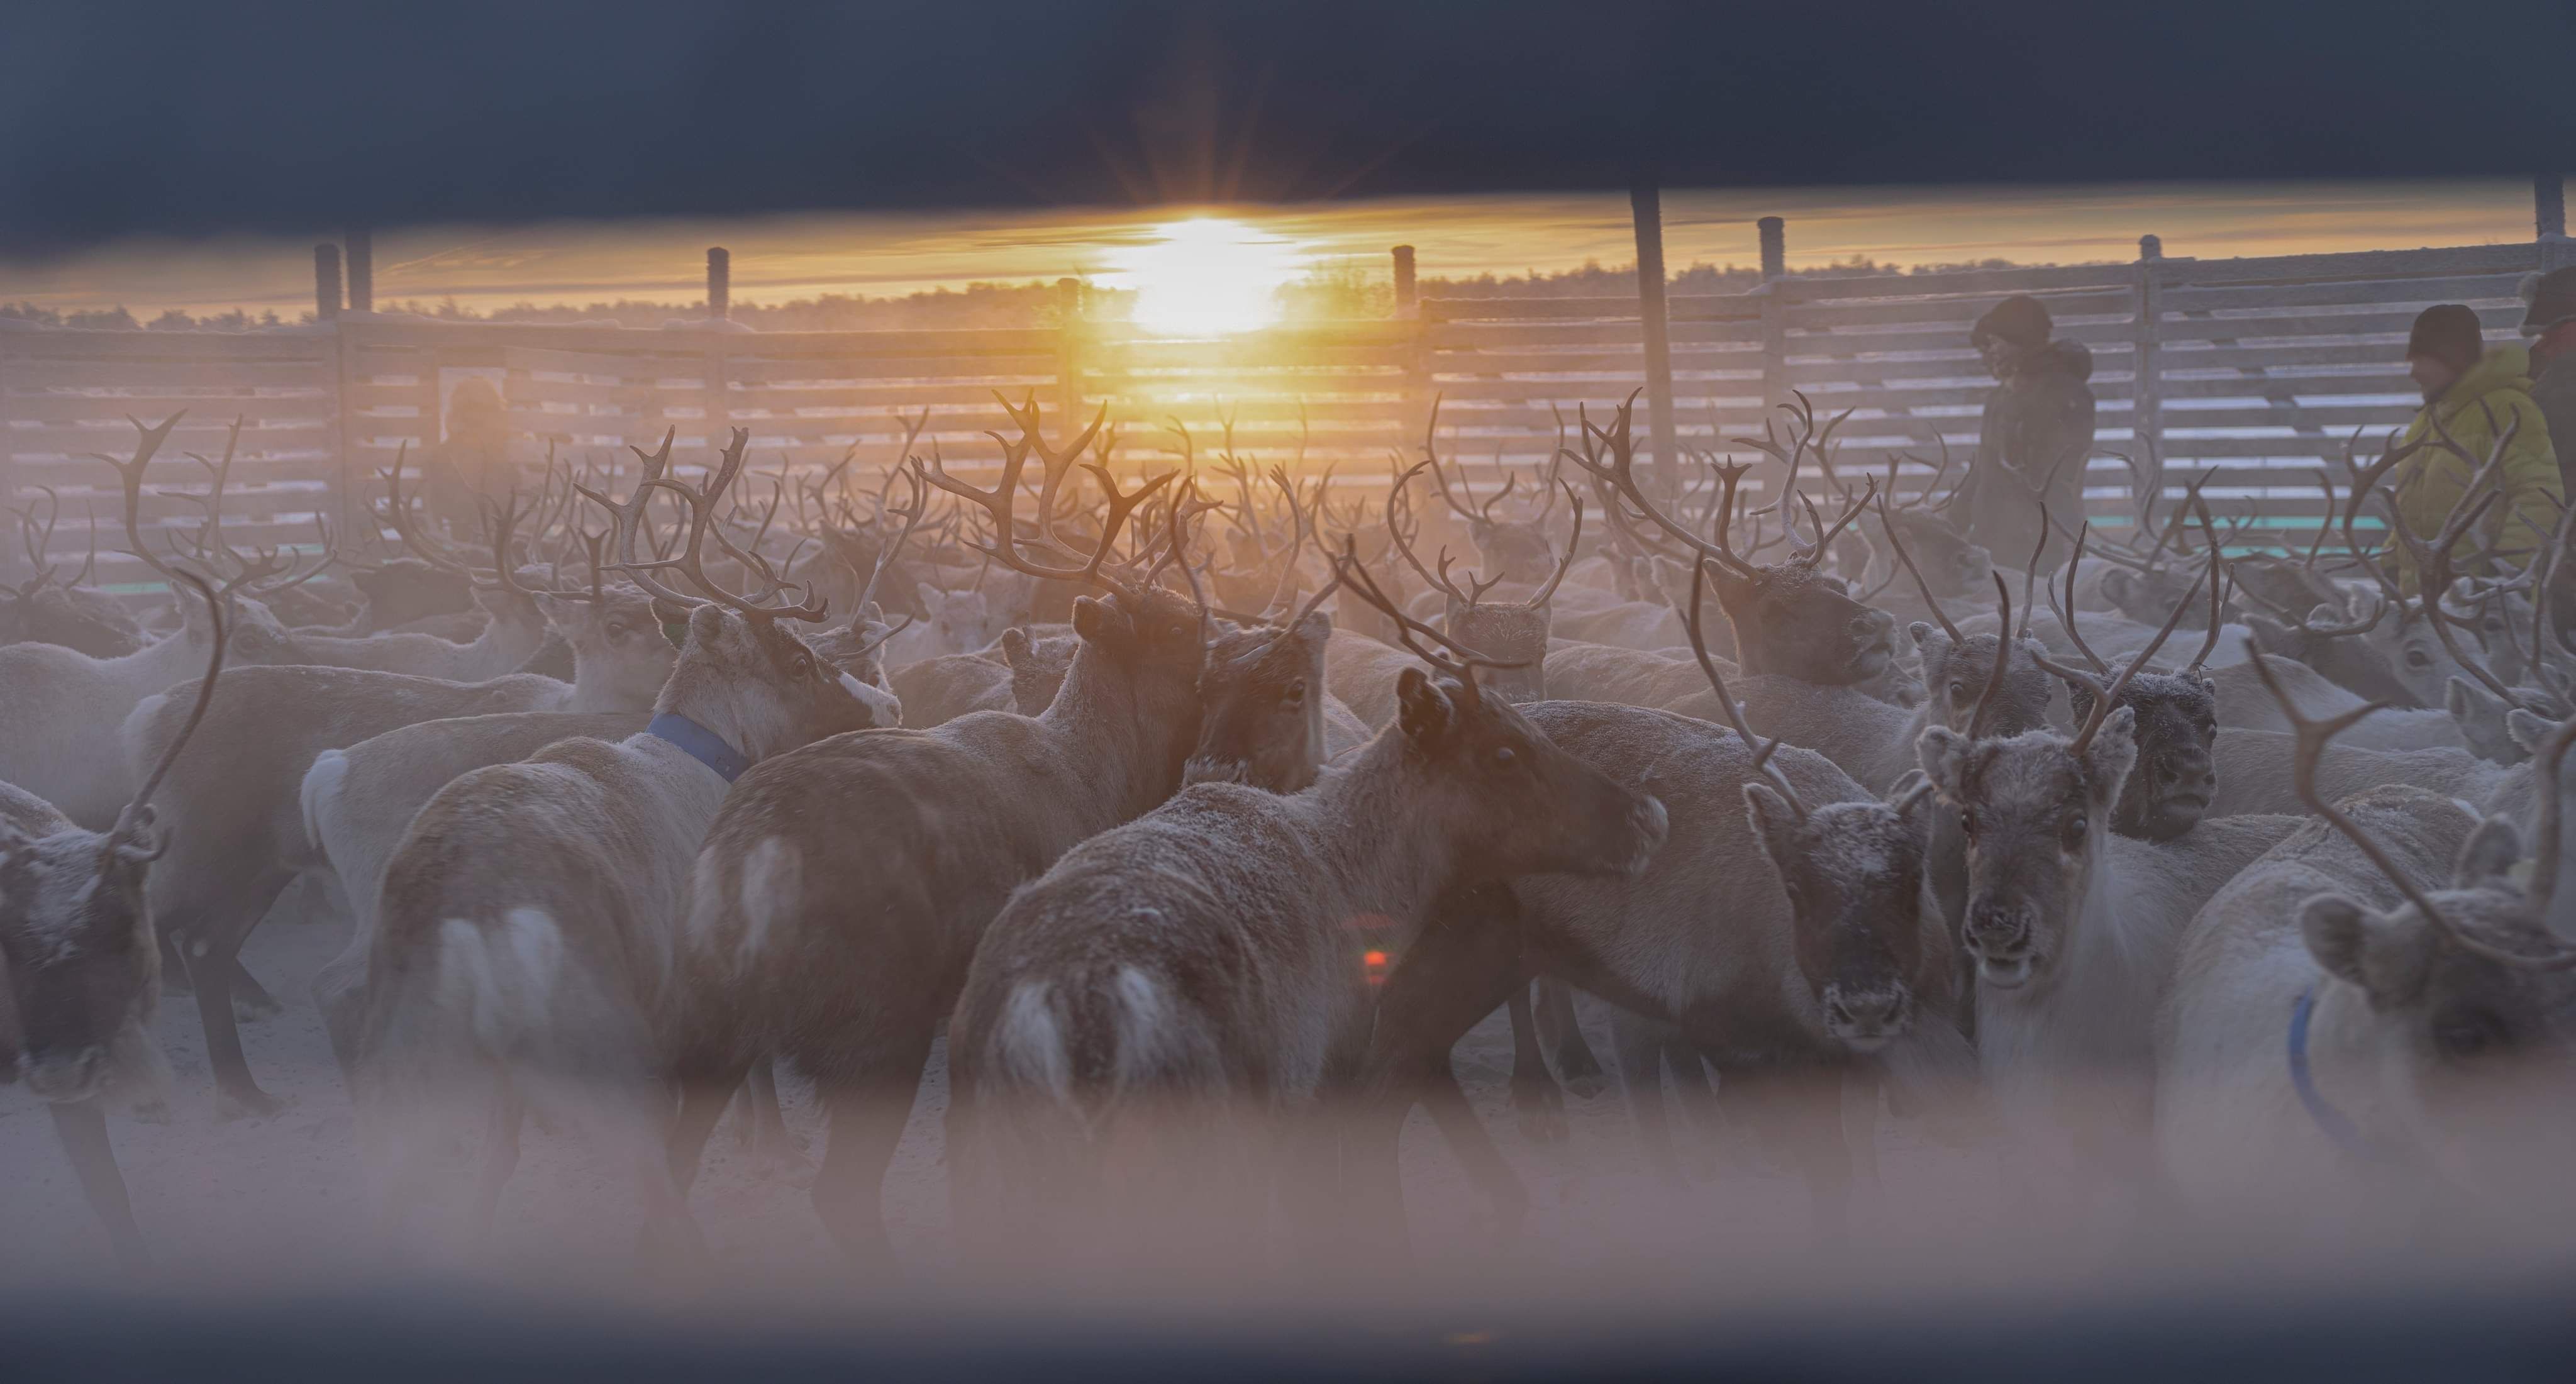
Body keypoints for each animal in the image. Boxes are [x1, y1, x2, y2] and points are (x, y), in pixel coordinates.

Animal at [345, 427, 888, 1247]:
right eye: (800, 660)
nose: (878, 708)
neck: (702, 764)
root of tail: (469, 918)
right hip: (598, 1046)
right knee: (656, 1185)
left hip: (408, 1066)